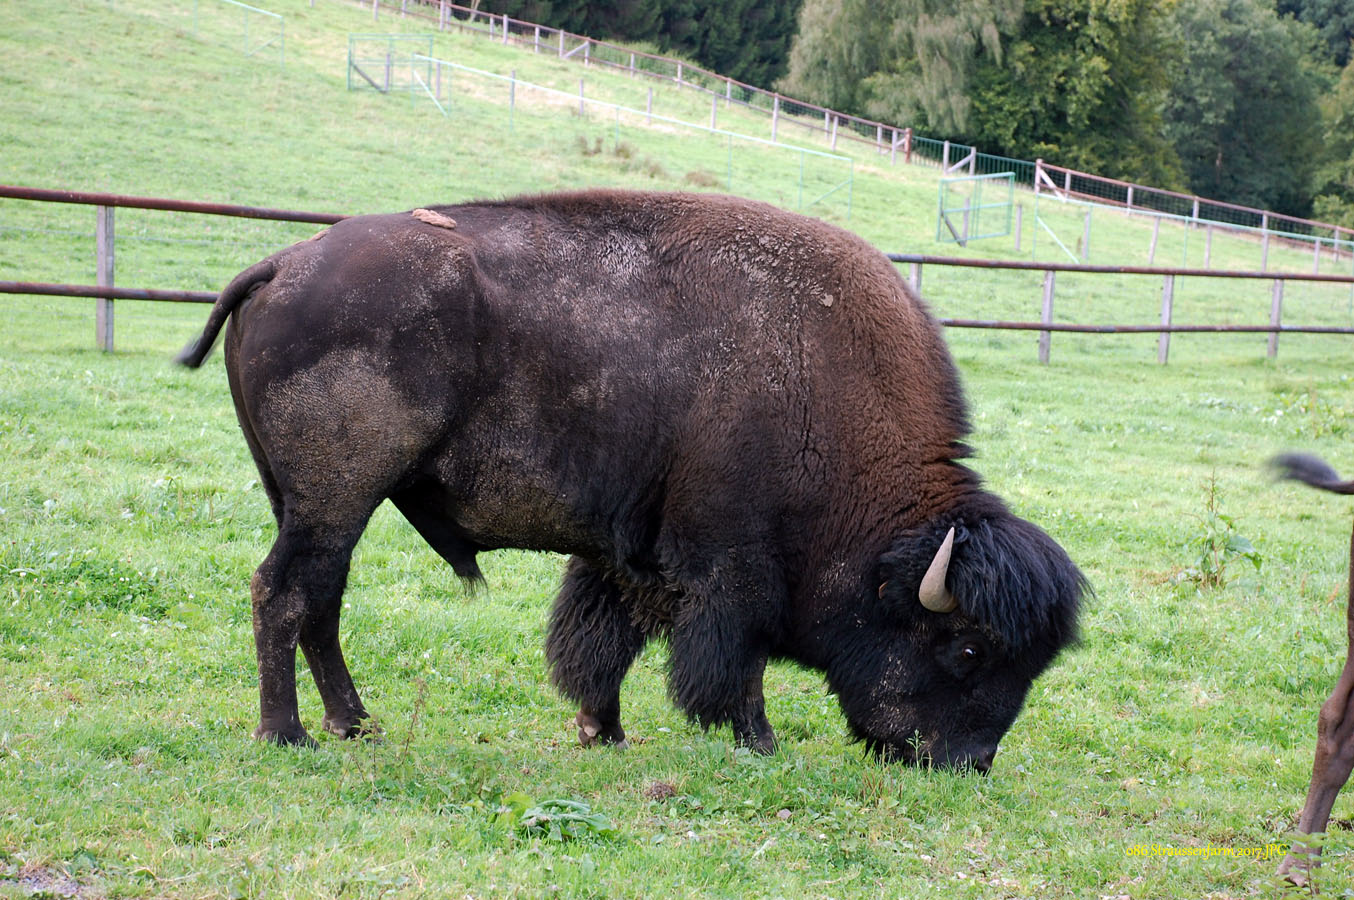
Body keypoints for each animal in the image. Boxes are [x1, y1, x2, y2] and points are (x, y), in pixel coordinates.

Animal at [177, 189, 1085, 770]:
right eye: (967, 647)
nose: (969, 763)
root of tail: (282, 263)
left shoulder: (626, 553)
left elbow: (600, 642)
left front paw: (601, 732)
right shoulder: (731, 569)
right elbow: (731, 661)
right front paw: (759, 741)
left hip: (314, 504)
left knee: (319, 600)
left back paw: (354, 726)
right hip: (335, 498)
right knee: (284, 593)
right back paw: (286, 735)